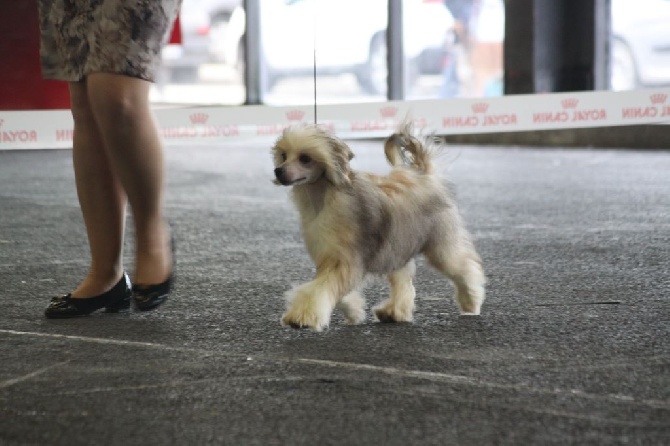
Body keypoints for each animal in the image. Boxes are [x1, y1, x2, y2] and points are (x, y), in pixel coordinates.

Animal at [272, 122, 488, 332]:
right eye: (284, 156)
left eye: (305, 158)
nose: (278, 171)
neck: (324, 197)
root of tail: (424, 173)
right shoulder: (332, 258)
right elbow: (332, 289)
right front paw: (353, 310)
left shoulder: (346, 261)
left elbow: (319, 289)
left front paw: (302, 316)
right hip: (398, 246)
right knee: (404, 283)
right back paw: (395, 312)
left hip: (440, 246)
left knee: (465, 268)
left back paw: (470, 301)